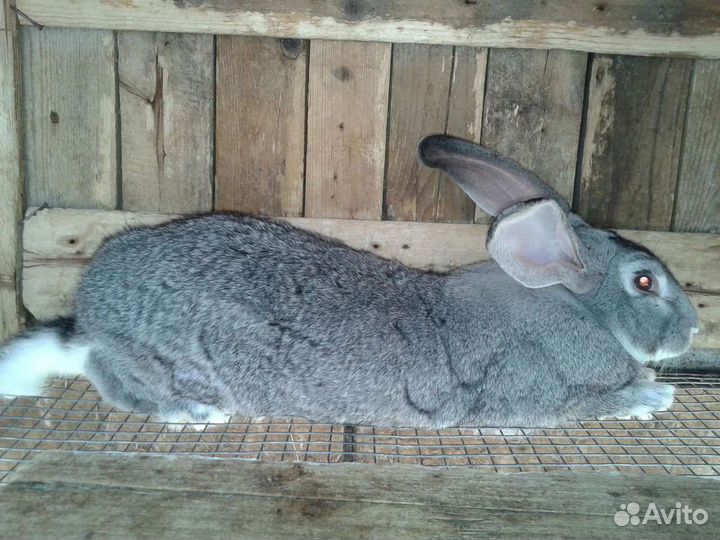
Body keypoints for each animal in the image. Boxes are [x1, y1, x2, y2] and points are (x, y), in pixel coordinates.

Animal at [0, 135, 699, 428]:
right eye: (644, 282)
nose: (694, 332)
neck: (577, 310)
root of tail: (89, 317)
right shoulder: (528, 394)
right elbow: (588, 403)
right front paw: (652, 397)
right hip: (160, 357)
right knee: (113, 380)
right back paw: (194, 413)